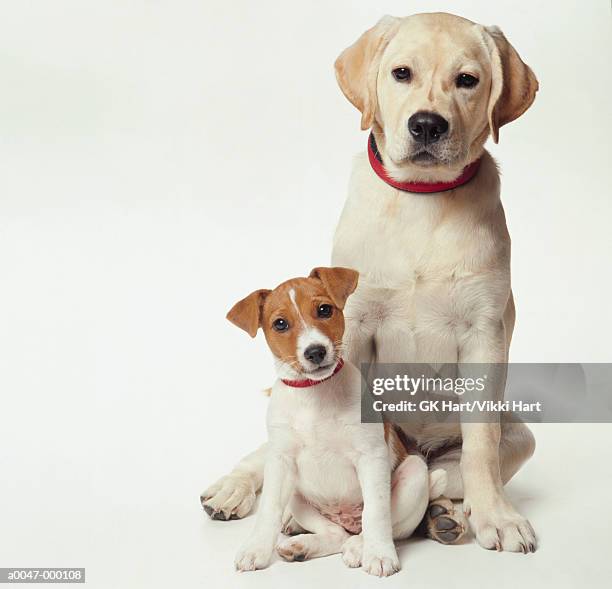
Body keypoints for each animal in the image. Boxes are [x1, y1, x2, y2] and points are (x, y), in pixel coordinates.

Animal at [224, 266, 460, 576]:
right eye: (280, 324)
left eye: (324, 310)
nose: (315, 351)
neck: (315, 393)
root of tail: (347, 520)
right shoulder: (280, 462)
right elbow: (269, 510)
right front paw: (256, 549)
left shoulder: (371, 457)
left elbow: (377, 512)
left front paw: (380, 554)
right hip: (298, 494)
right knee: (335, 535)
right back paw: (302, 546)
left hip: (415, 472)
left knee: (383, 526)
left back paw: (361, 547)